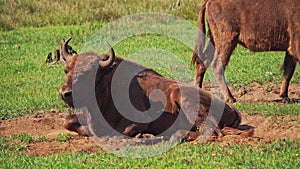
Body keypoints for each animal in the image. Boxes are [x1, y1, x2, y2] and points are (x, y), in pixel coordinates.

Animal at [59, 38, 248, 141]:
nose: (65, 93)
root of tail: (231, 107)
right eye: (66, 69)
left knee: (212, 132)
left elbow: (120, 131)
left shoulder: (139, 120)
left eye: (89, 73)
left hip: (184, 98)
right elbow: (68, 121)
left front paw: (142, 135)